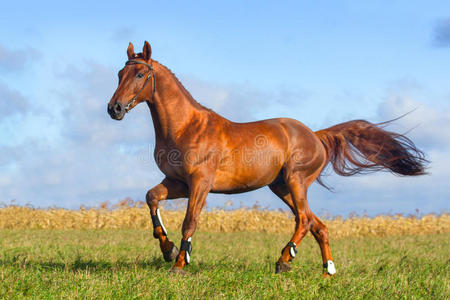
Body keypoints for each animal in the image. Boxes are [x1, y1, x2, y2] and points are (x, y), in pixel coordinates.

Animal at [107, 41, 428, 276]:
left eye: (139, 75)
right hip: (281, 187)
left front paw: (179, 265)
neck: (186, 126)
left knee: (304, 220)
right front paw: (169, 250)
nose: (115, 108)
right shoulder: (177, 183)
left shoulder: (200, 184)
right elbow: (151, 197)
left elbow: (190, 221)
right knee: (316, 224)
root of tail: (316, 135)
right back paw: (327, 269)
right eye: (119, 74)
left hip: (297, 182)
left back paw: (284, 260)